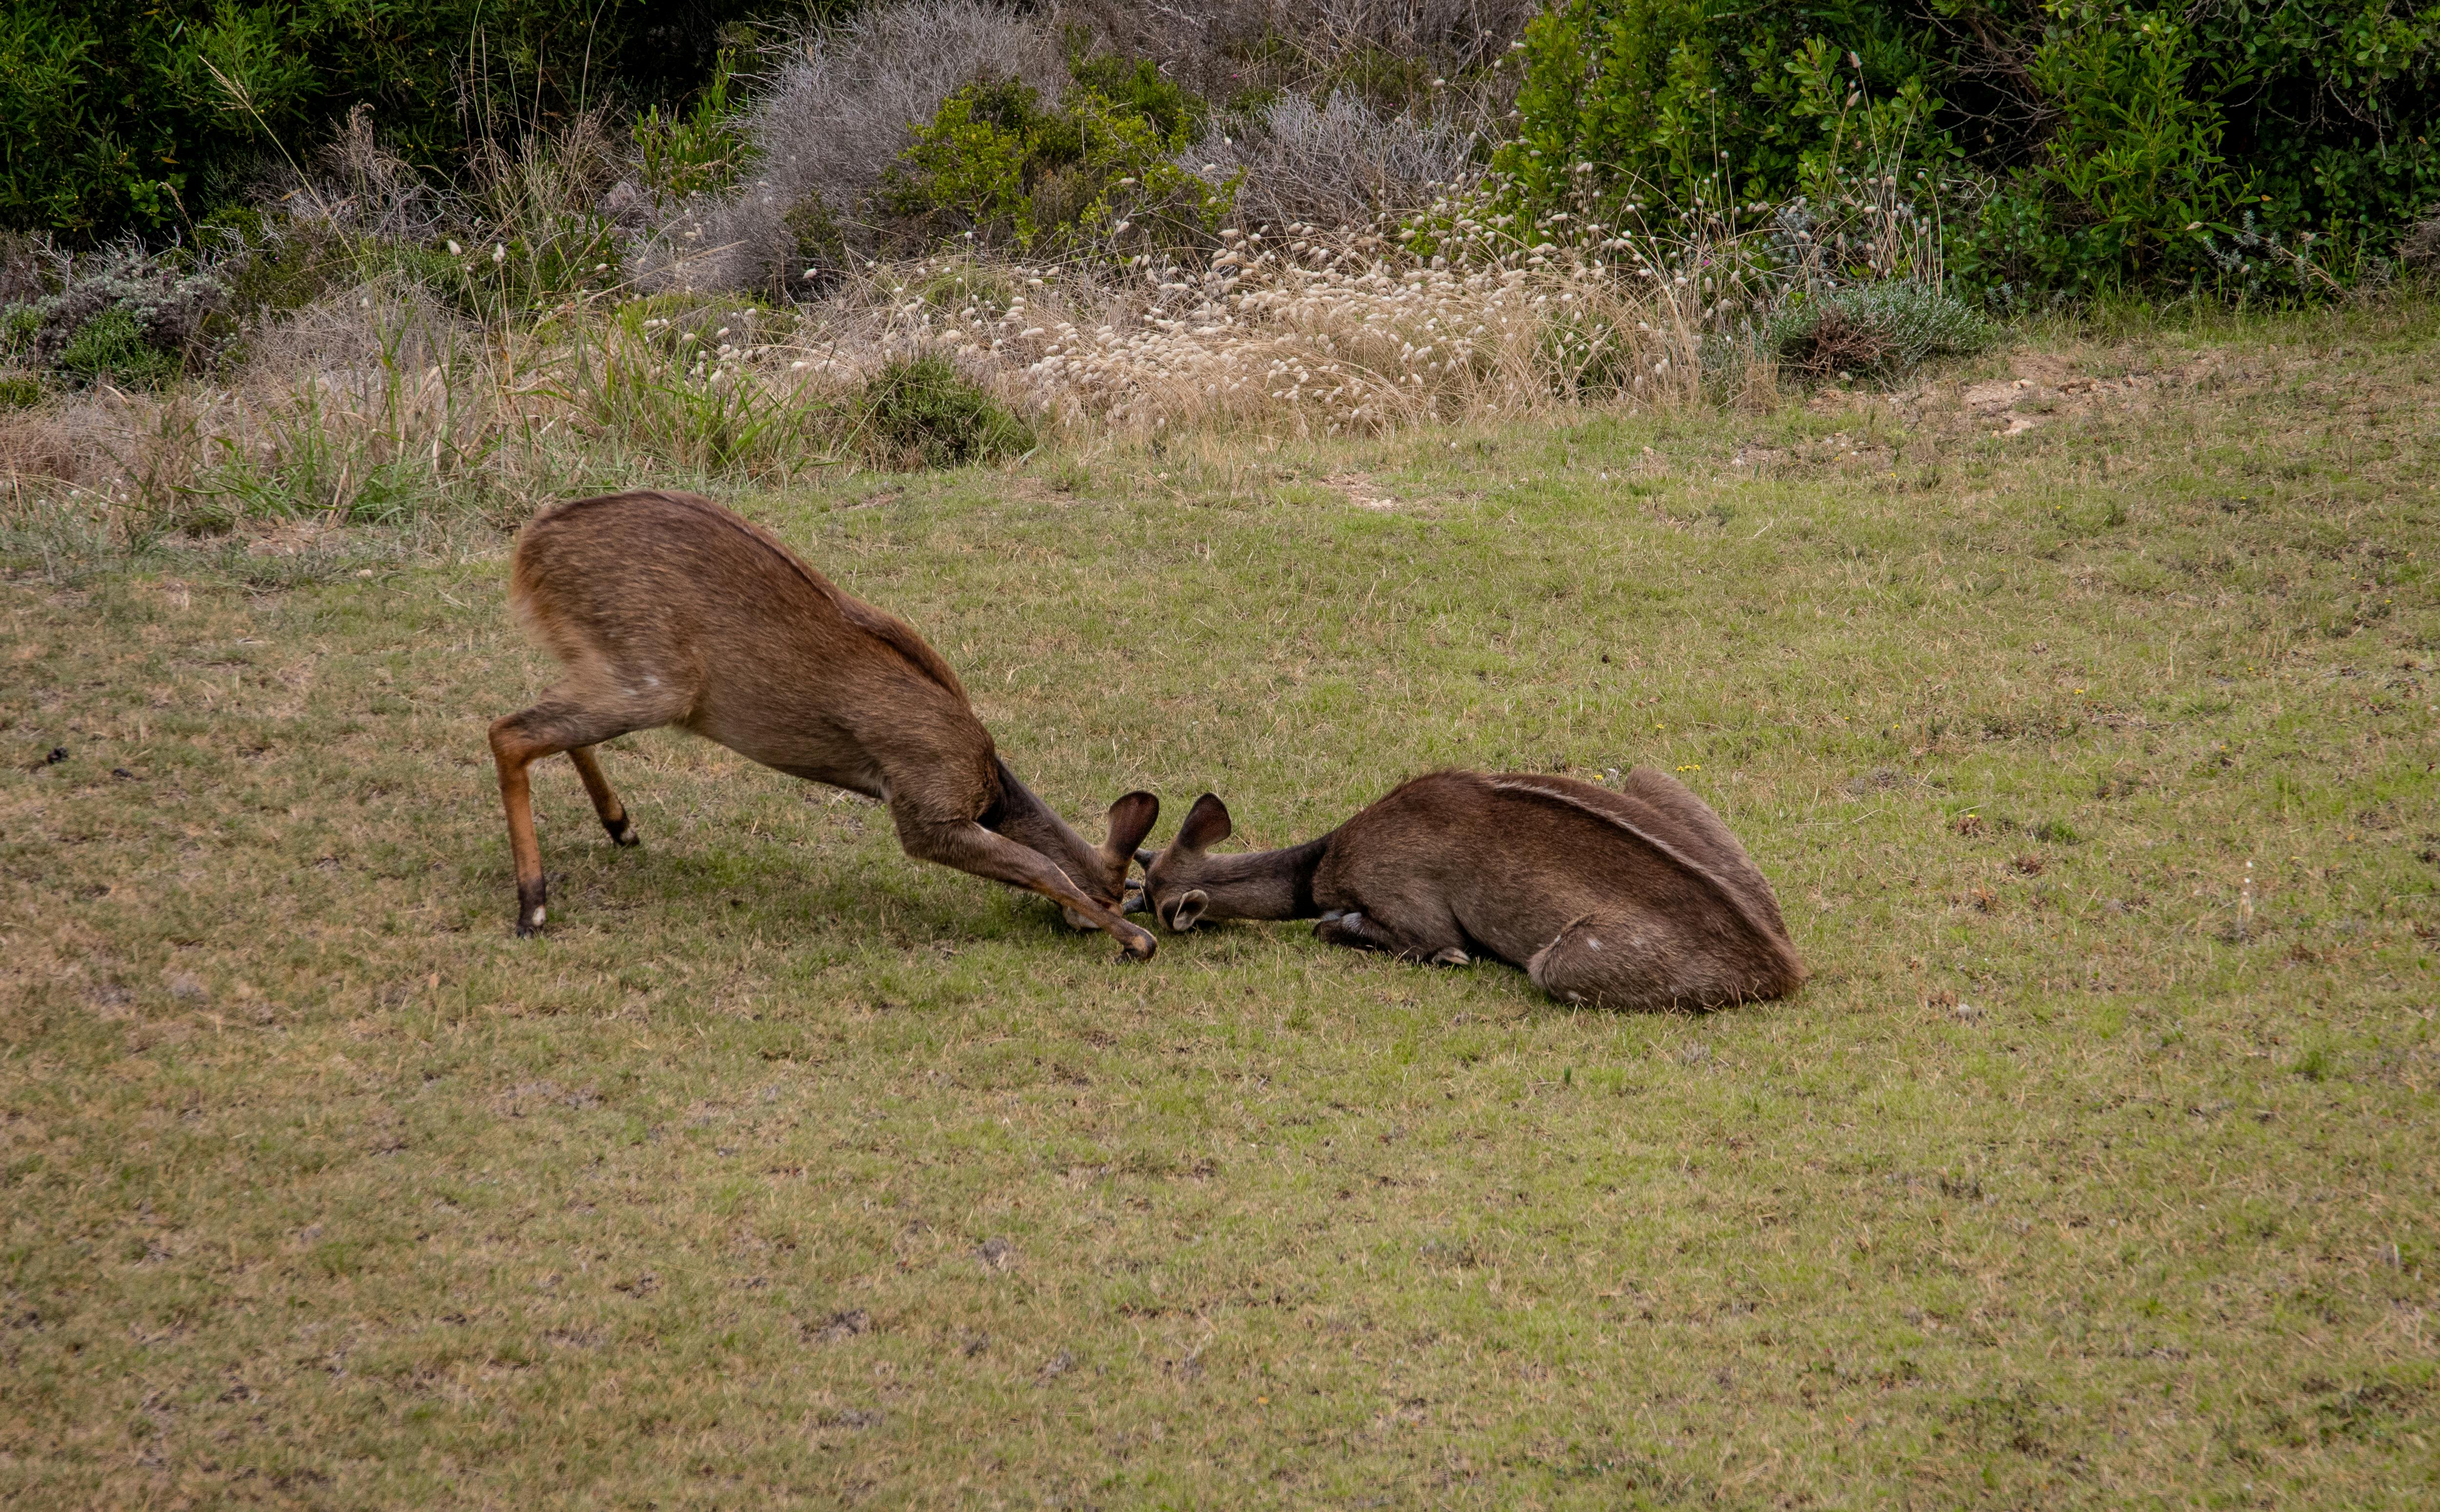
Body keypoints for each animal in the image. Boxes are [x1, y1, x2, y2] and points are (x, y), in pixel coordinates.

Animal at [488, 490, 1161, 951]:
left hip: (611, 667)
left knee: (539, 717)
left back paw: (621, 826)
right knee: (508, 731)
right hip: (655, 681)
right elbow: (1039, 865)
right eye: (1115, 897)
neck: (987, 783)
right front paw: (1138, 943)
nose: (1113, 923)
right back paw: (533, 909)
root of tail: (530, 550)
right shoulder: (924, 806)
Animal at [1132, 775, 1806, 1009]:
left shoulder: (1412, 910)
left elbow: (1350, 930)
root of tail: (1785, 964)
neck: (1317, 868)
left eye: (1155, 906)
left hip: (1557, 962)